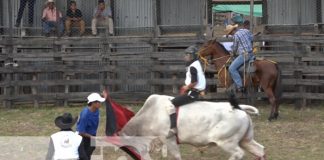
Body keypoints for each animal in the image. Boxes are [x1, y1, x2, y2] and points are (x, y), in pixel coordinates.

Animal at [119, 94, 266, 159]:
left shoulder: (170, 140)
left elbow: (176, 156)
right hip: (246, 140)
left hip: (227, 142)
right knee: (260, 150)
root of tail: (237, 107)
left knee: (238, 154)